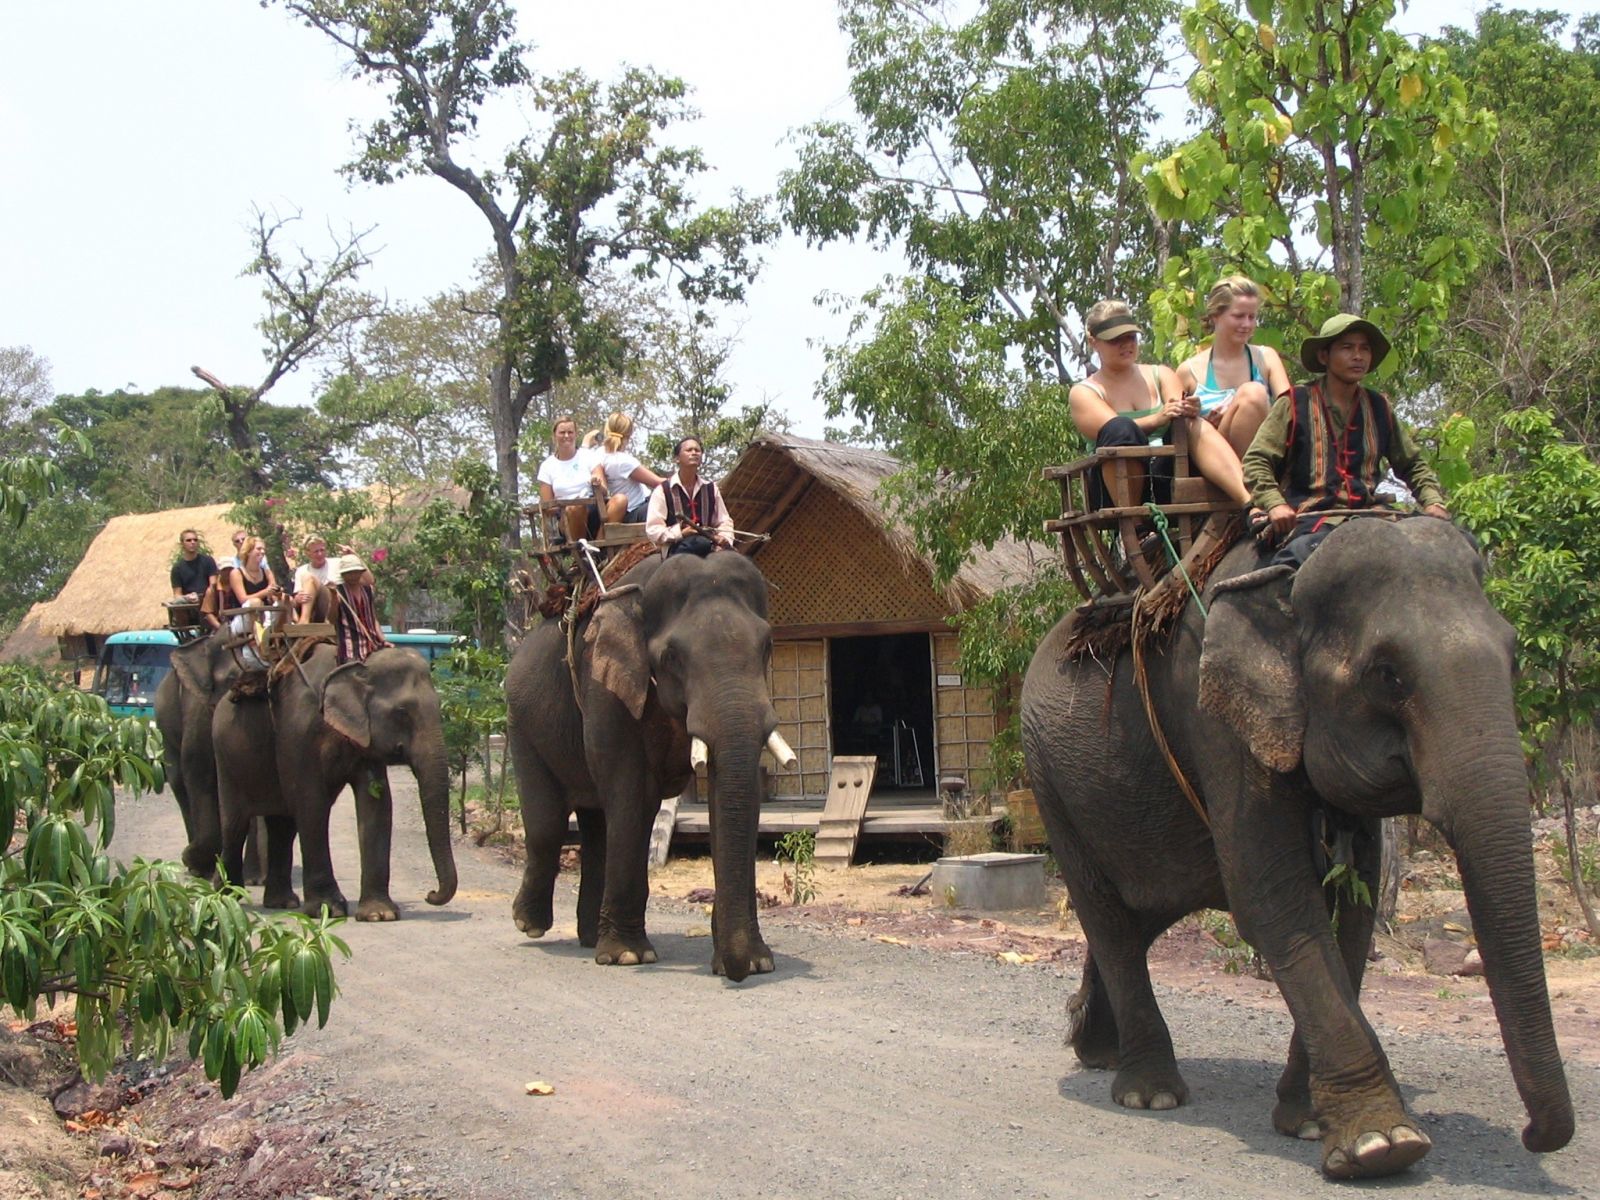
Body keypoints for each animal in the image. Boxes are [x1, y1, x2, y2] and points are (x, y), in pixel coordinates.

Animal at [211, 649, 457, 921]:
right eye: (402, 712)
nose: (430, 894)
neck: (356, 665)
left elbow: (377, 805)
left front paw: (379, 914)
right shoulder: (299, 733)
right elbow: (311, 803)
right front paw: (328, 909)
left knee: (282, 825)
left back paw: (282, 902)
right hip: (225, 756)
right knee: (235, 823)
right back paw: (225, 896)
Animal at [505, 550, 793, 979]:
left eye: (767, 645)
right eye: (672, 656)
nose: (737, 972)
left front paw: (756, 962)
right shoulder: (604, 683)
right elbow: (633, 794)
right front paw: (628, 956)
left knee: (596, 825)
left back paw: (589, 936)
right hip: (521, 724)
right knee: (548, 825)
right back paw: (531, 924)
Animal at [1024, 518, 1574, 1184]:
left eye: (1515, 657)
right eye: (1387, 675)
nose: (1532, 1135)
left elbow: (1353, 908)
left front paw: (1310, 1121)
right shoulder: (1217, 720)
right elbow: (1272, 896)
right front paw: (1381, 1146)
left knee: (1138, 916)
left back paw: (1095, 1049)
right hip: (1051, 784)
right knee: (1109, 917)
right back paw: (1148, 1093)